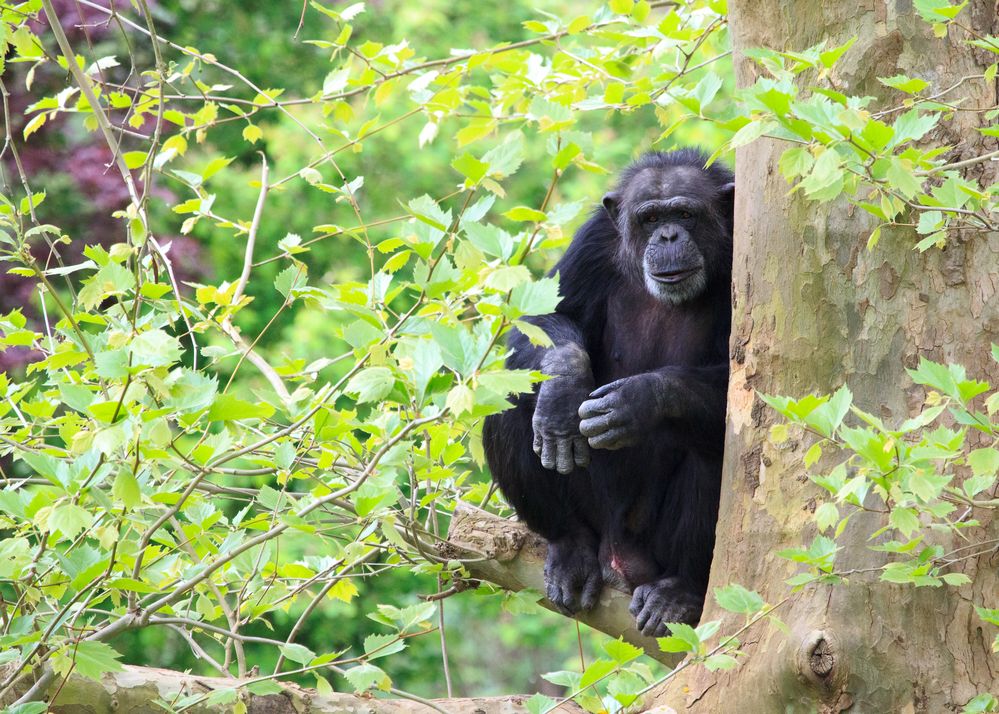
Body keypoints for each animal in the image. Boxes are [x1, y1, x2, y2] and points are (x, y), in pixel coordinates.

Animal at [484, 147, 736, 632]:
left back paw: (678, 591)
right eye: (649, 217)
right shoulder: (593, 241)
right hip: (595, 519)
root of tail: (618, 558)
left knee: (716, 446)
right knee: (510, 401)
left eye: (685, 213)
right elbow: (543, 317)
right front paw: (564, 387)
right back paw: (570, 549)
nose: (668, 234)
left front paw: (641, 401)